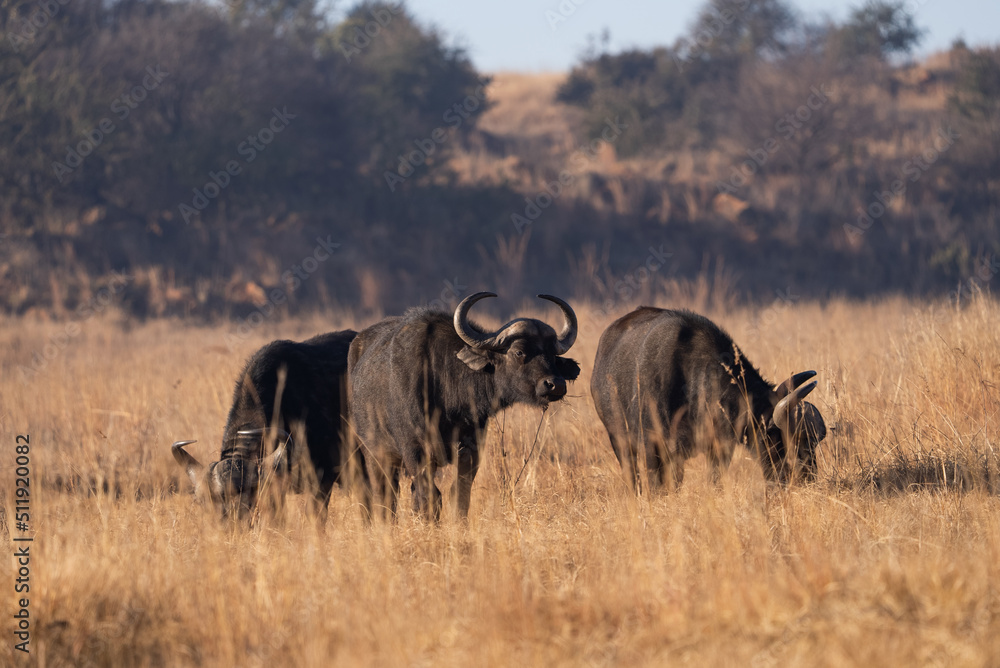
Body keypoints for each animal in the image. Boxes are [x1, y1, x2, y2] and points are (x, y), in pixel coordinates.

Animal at [348, 292, 580, 521]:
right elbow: (429, 496)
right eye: (519, 352)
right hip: (374, 454)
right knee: (386, 495)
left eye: (553, 355)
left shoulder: (471, 448)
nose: (555, 384)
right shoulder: (415, 450)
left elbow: (459, 494)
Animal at [591, 307, 826, 492]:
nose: (807, 478)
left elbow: (712, 482)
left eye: (813, 442)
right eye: (774, 437)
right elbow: (657, 486)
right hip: (618, 439)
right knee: (633, 476)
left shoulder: (718, 448)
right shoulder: (652, 445)